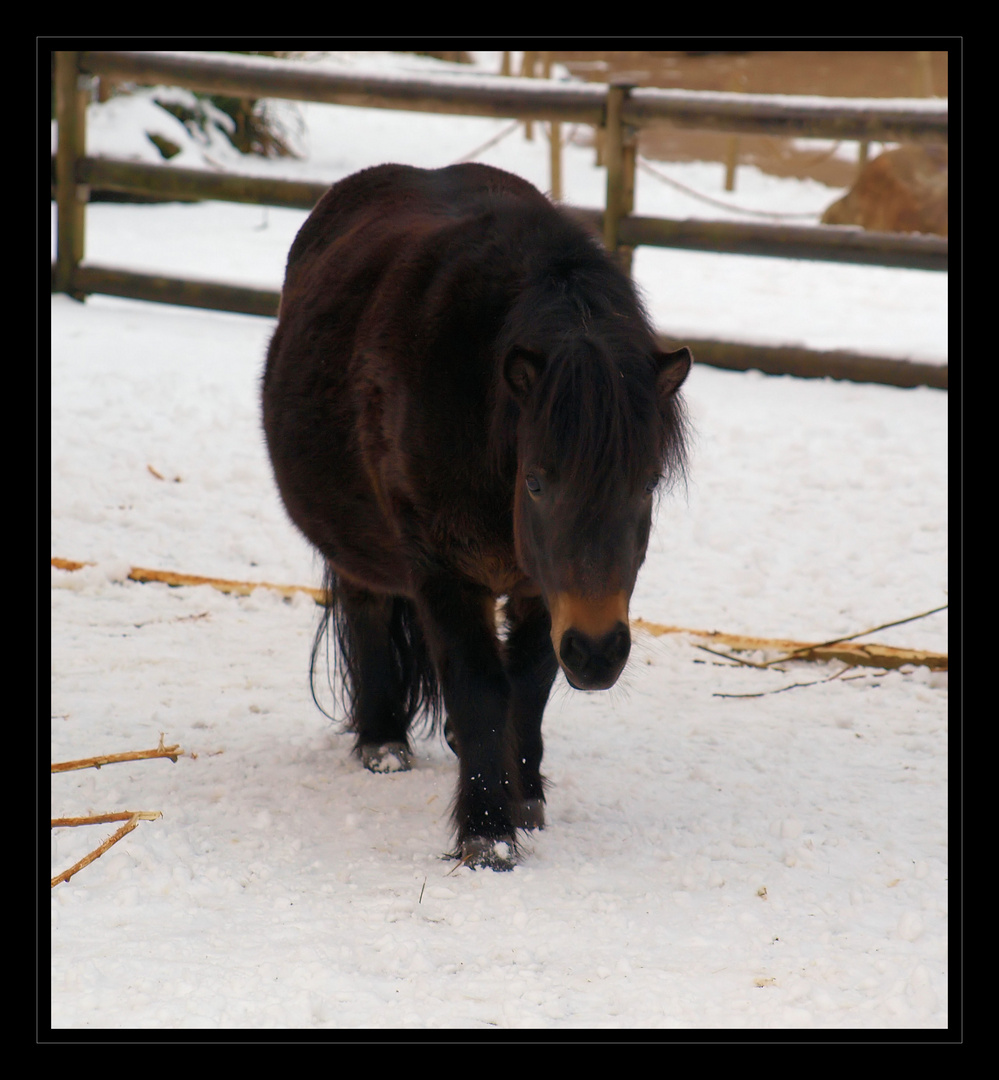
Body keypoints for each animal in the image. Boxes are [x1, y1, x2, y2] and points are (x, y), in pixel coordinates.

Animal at [261, 162, 691, 868]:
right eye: (537, 482)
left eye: (648, 483)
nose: (599, 653)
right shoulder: (444, 572)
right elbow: (480, 684)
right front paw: (487, 833)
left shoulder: (545, 592)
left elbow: (529, 683)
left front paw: (526, 797)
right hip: (363, 552)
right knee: (367, 611)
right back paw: (383, 742)